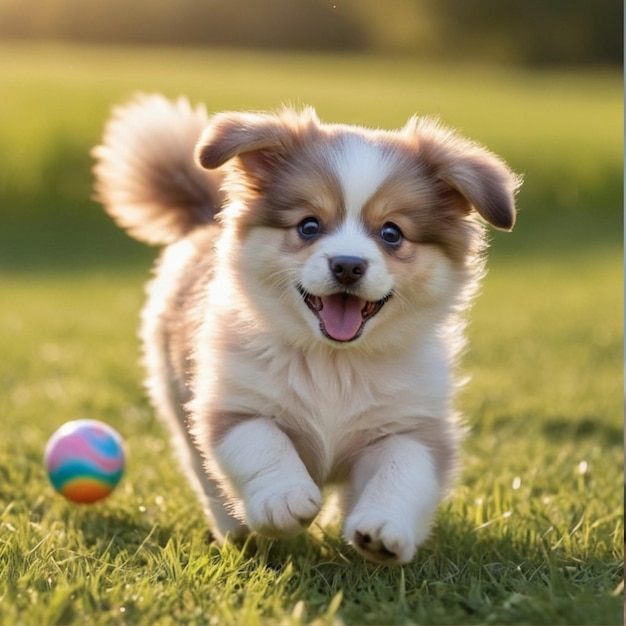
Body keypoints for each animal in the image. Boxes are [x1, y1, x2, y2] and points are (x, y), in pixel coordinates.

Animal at [92, 95, 520, 564]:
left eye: (391, 233)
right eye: (308, 226)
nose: (348, 265)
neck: (334, 364)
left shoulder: (410, 425)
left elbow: (403, 470)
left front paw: (383, 528)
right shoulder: (233, 402)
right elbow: (261, 442)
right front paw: (284, 499)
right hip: (173, 396)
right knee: (204, 475)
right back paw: (235, 529)